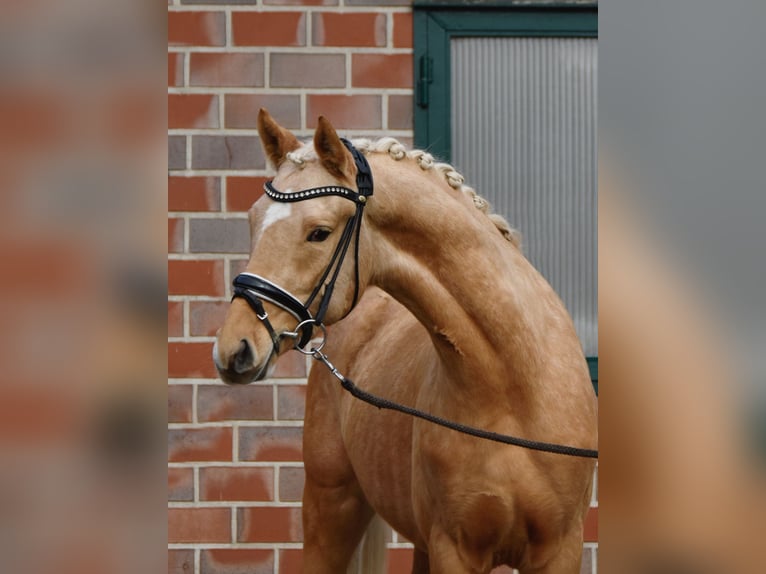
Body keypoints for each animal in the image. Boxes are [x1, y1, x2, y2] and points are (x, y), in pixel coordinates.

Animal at [216, 110, 600, 572]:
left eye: (319, 233)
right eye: (253, 220)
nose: (234, 348)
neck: (513, 388)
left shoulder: (560, 550)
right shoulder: (454, 549)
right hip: (331, 507)